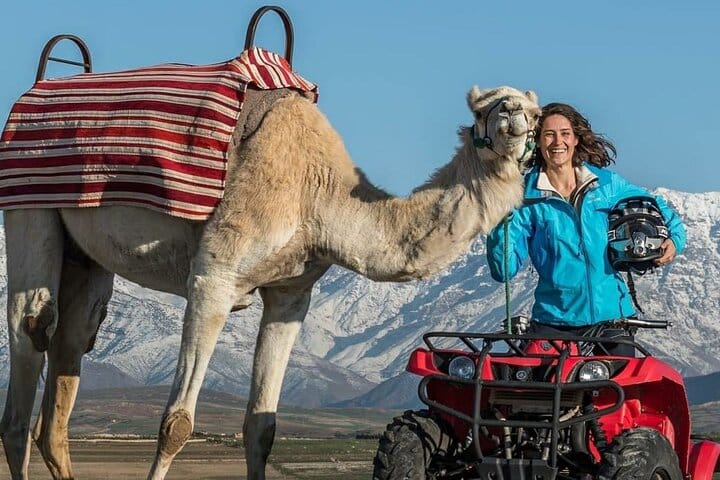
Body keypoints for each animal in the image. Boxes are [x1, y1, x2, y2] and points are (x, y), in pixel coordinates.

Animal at [0, 78, 540, 479]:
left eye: (534, 109)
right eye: (486, 108)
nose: (515, 115)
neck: (317, 195)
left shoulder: (292, 293)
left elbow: (263, 427)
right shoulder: (214, 277)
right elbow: (176, 424)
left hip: (87, 256)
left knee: (72, 347)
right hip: (28, 207)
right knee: (32, 332)